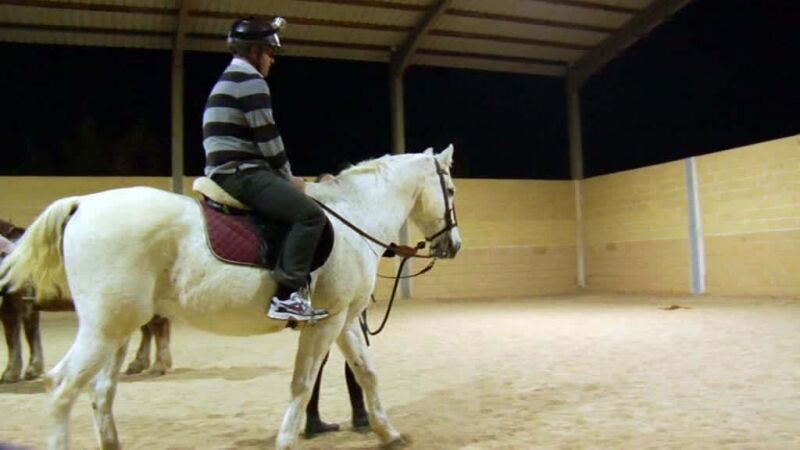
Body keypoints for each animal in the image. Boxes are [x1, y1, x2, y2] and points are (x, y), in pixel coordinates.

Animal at [0, 220, 173, 383]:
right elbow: (31, 332)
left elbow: (13, 337)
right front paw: (33, 369)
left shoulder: (13, 304)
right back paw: (139, 363)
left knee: (158, 326)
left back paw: (158, 366)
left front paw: (10, 374)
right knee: (148, 328)